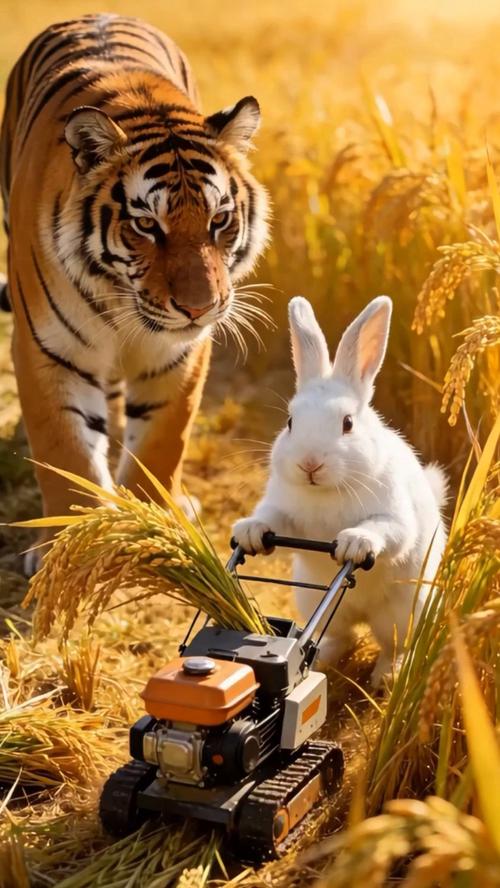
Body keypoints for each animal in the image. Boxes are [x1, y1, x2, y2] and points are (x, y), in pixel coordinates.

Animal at [0, 14, 269, 573]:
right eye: (147, 225)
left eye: (219, 220)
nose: (199, 307)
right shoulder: (46, 349)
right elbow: (65, 454)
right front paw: (69, 548)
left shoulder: (179, 354)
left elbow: (161, 446)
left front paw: (156, 532)